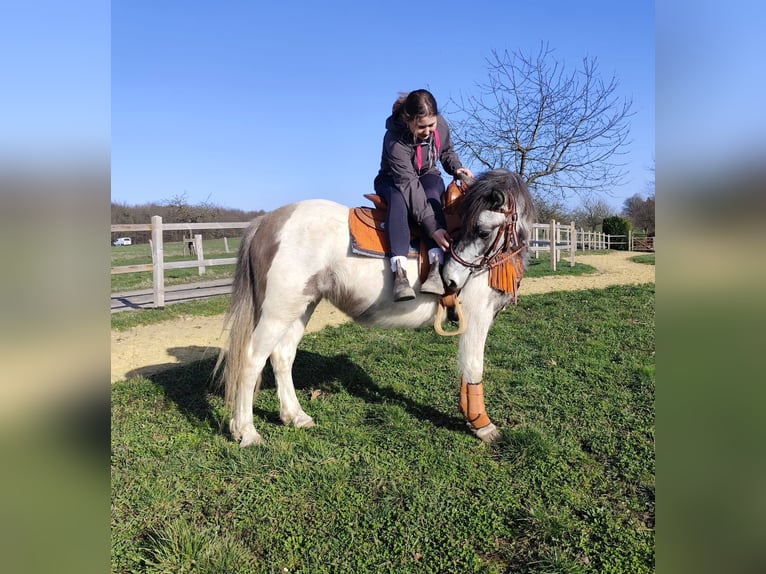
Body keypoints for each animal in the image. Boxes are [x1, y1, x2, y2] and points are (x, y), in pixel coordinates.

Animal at [216, 169, 534, 447]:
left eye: (481, 231)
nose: (451, 280)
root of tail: (266, 221)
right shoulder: (477, 316)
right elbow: (473, 368)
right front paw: (482, 425)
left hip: (300, 307)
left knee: (282, 357)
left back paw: (295, 416)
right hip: (277, 312)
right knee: (251, 360)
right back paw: (246, 432)